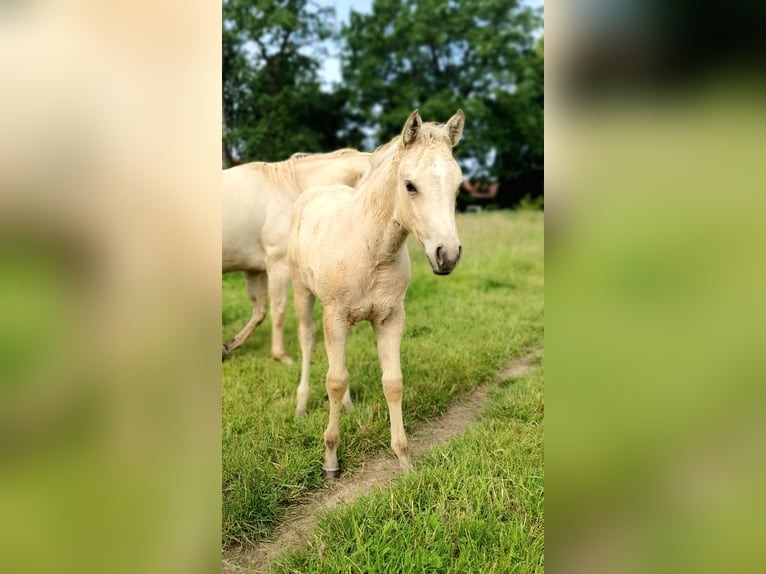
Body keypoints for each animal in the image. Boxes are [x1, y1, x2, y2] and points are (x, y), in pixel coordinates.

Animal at [222, 149, 371, 362]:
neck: (290, 189)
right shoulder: (279, 265)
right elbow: (278, 309)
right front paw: (280, 355)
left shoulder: (254, 271)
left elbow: (260, 312)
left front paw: (229, 346)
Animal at [288, 109, 465, 477]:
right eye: (410, 185)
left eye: (457, 185)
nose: (448, 254)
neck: (372, 249)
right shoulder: (335, 316)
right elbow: (334, 380)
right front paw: (330, 459)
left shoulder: (390, 318)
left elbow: (392, 382)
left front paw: (404, 459)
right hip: (302, 293)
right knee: (308, 341)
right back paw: (301, 404)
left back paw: (349, 406)